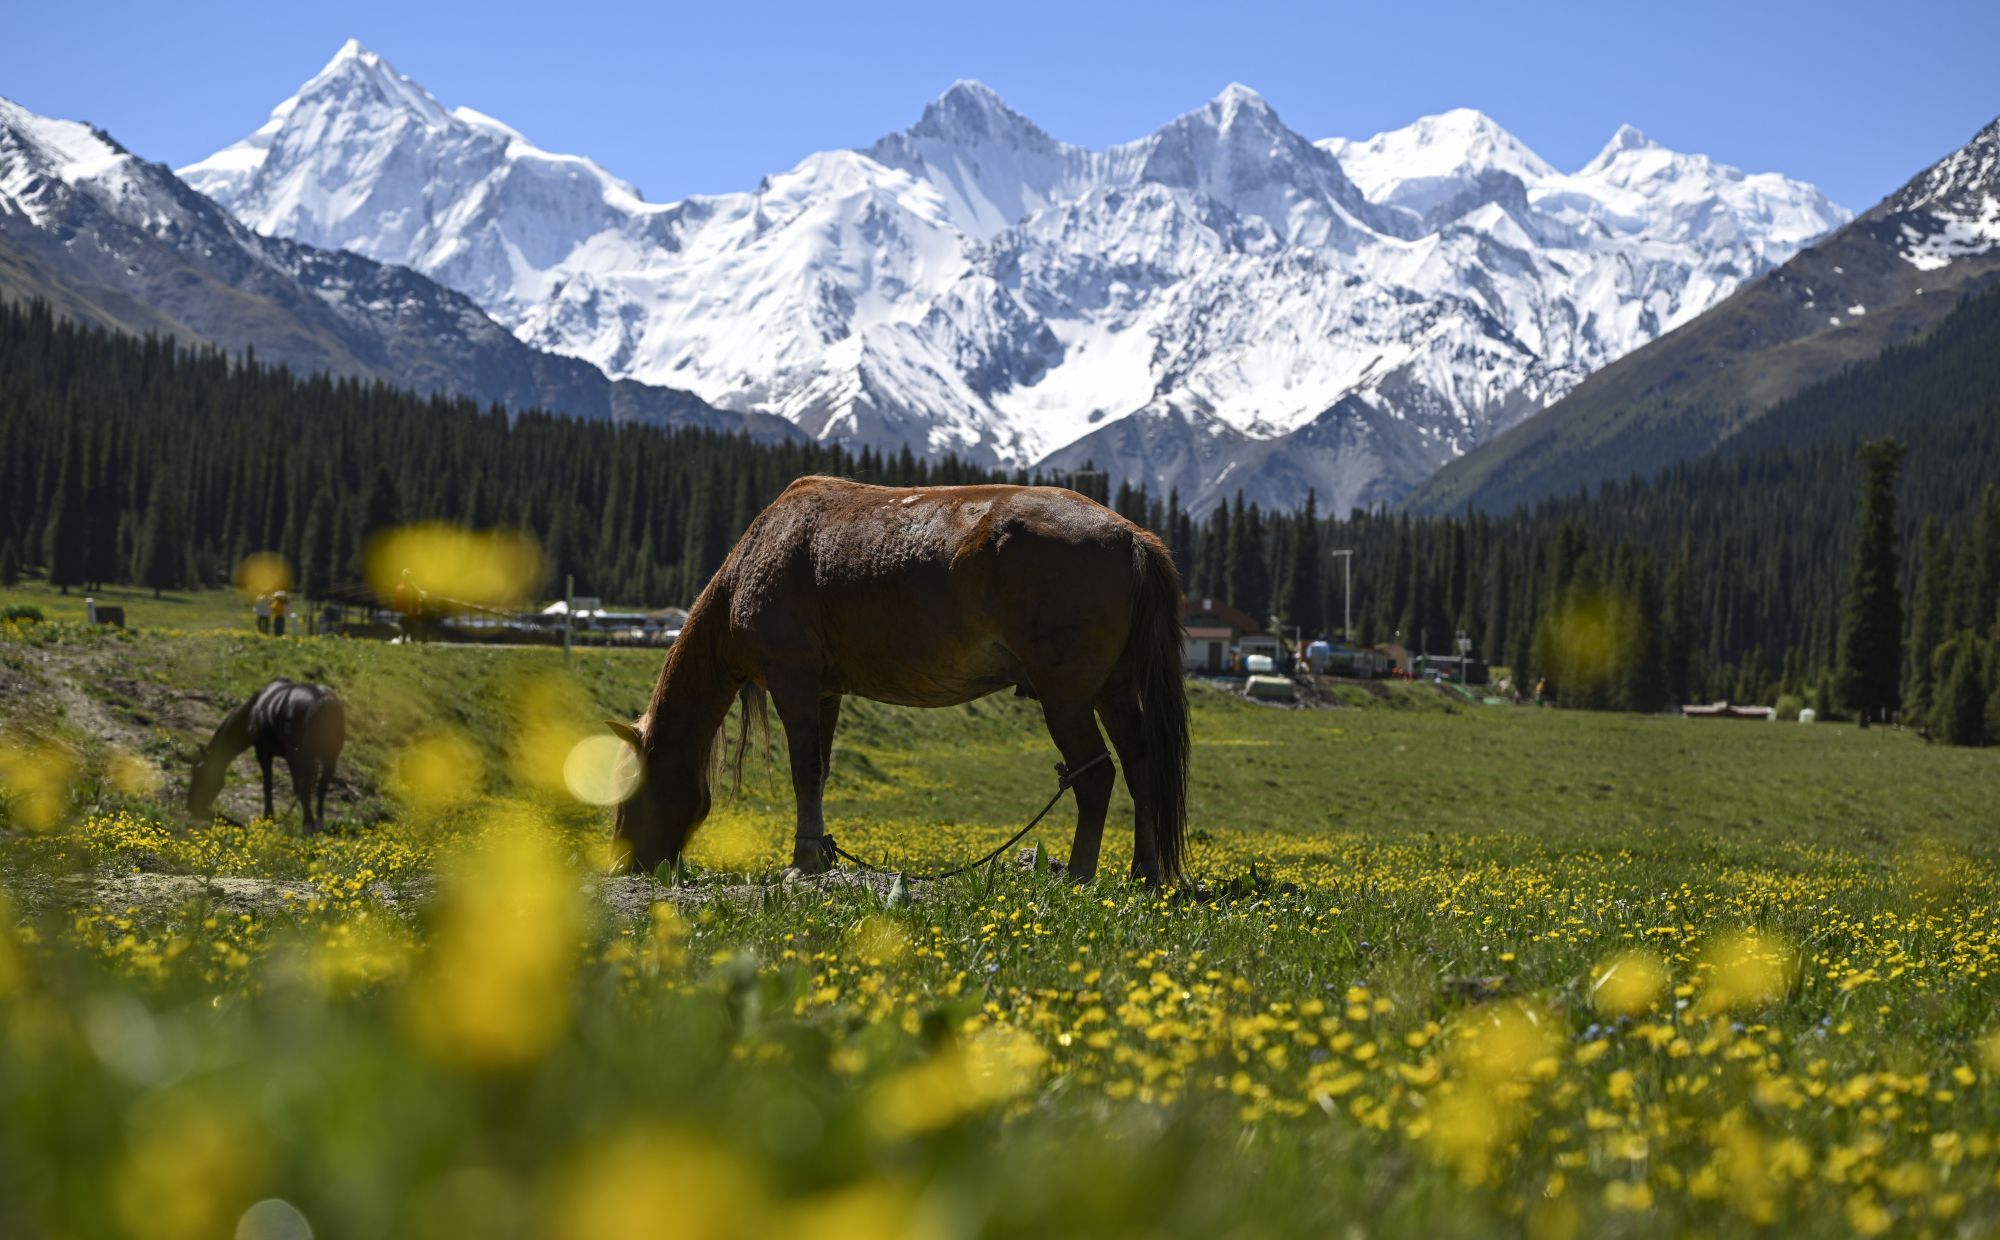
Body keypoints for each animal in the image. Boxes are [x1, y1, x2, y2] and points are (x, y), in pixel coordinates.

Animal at [187, 679, 346, 832]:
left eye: (198, 772)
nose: (190, 806)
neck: (253, 711)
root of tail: (325, 701)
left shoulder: (264, 753)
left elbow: (268, 785)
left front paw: (268, 818)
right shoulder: (291, 759)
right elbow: (297, 787)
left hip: (306, 757)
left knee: (308, 786)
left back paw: (308, 825)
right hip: (328, 758)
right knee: (321, 788)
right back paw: (317, 824)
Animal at [608, 476, 1191, 886]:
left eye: (628, 794)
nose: (623, 863)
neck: (756, 557)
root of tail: (1130, 535)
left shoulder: (793, 683)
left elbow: (803, 772)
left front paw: (802, 863)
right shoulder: (825, 692)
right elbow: (818, 772)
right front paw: (819, 856)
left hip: (1066, 698)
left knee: (1096, 776)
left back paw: (1077, 874)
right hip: (1114, 692)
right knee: (1141, 769)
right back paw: (1144, 873)